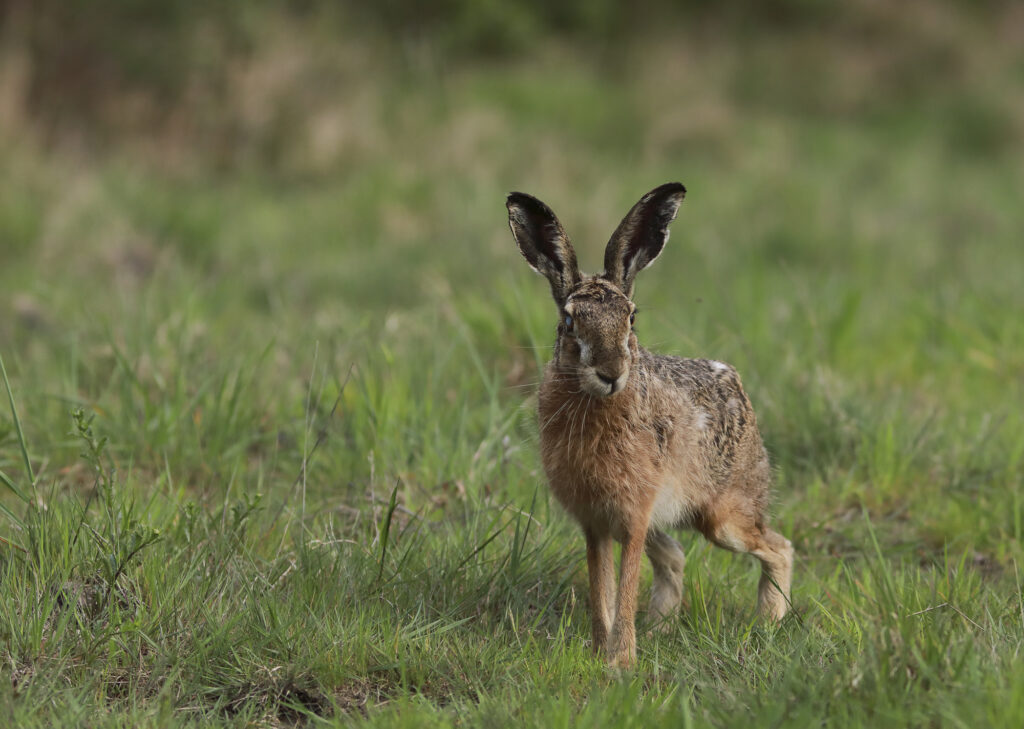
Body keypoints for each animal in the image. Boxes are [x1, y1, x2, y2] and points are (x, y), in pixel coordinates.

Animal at [506, 182, 793, 668]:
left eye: (632, 318)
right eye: (569, 321)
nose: (611, 373)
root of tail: (739, 390)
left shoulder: (634, 515)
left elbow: (623, 585)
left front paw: (620, 663)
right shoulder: (596, 521)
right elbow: (601, 587)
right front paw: (603, 653)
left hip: (723, 516)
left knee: (779, 546)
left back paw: (769, 623)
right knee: (676, 556)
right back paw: (661, 630)